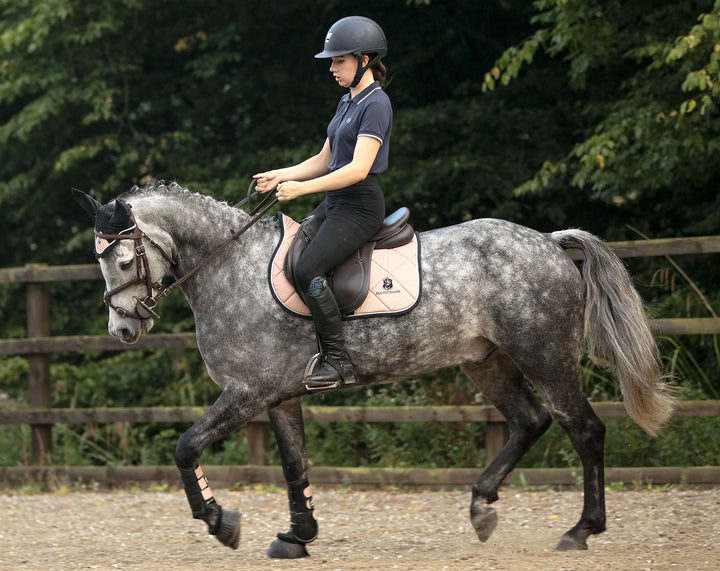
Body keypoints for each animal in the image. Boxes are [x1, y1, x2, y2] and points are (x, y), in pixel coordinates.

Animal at [70, 182, 672, 560]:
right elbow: (294, 464)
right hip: (486, 362)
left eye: (121, 260)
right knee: (529, 422)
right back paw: (481, 506)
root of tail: (548, 242)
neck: (231, 267)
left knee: (583, 429)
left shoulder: (247, 393)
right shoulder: (279, 396)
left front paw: (222, 524)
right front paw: (299, 535)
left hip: (544, 357)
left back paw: (580, 530)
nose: (122, 330)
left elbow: (186, 447)